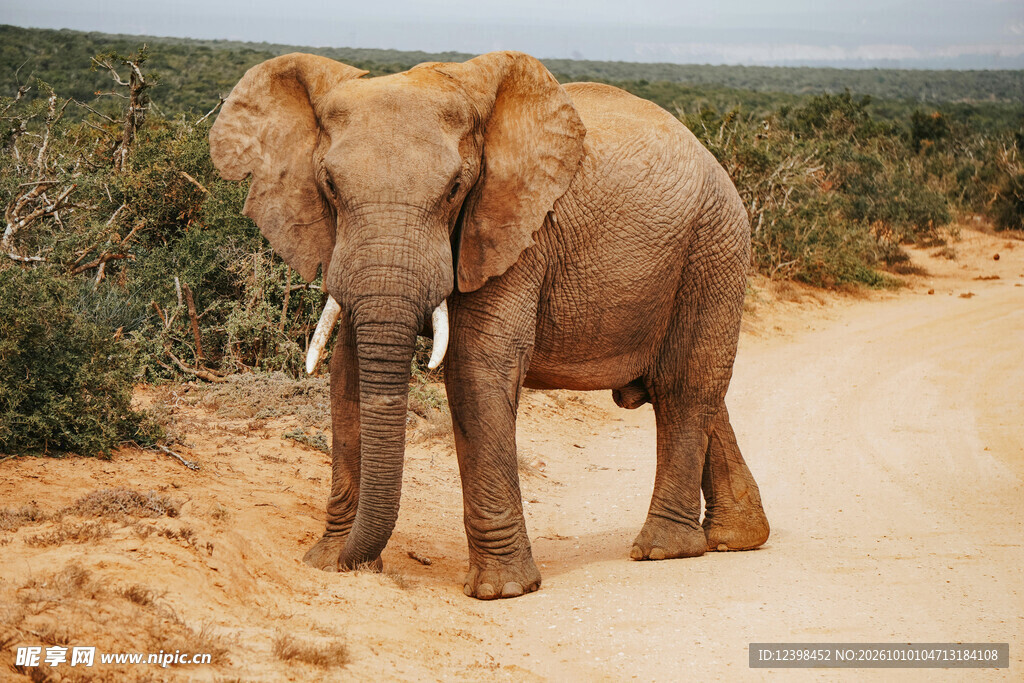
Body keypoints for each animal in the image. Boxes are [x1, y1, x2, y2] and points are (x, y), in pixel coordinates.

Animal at [209, 50, 769, 600]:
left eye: (455, 189)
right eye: (328, 185)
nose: (355, 561)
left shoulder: (516, 229)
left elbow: (476, 364)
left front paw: (502, 591)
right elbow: (347, 368)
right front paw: (328, 562)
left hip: (715, 244)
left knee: (684, 386)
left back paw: (663, 549)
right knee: (687, 390)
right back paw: (736, 538)